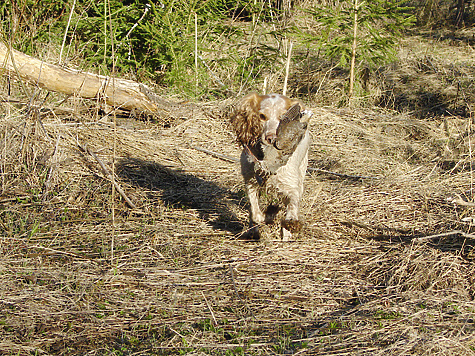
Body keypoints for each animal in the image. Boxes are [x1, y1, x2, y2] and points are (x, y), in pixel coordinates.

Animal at [231, 93, 312, 241]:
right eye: (262, 116)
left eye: (281, 116)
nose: (271, 138)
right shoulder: (250, 182)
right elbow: (256, 214)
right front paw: (266, 216)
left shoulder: (291, 186)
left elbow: (291, 207)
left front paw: (289, 223)